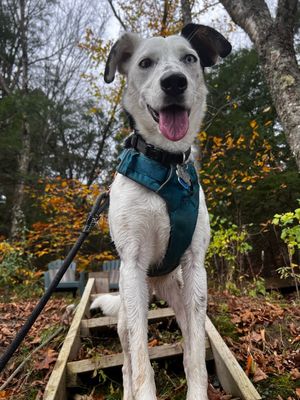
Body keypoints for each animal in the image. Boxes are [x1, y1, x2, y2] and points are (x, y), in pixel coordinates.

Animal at [91, 24, 232, 400]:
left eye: (190, 59)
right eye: (145, 63)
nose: (174, 82)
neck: (167, 165)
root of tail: (155, 283)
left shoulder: (195, 267)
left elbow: (194, 356)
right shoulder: (132, 263)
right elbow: (141, 365)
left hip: (182, 296)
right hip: (127, 311)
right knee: (127, 364)